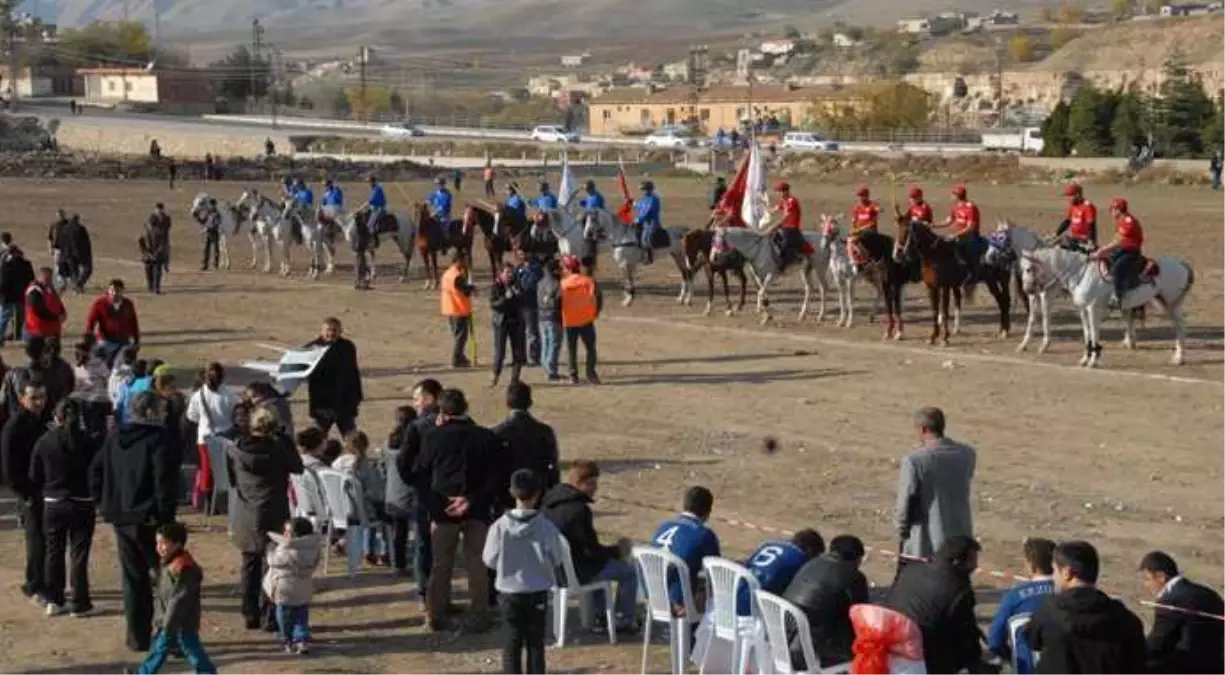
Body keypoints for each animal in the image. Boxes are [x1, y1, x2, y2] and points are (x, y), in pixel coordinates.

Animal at [984, 220, 1053, 352]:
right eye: (993, 235)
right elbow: (1032, 313)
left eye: (1001, 237)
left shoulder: (1043, 294)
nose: (987, 257)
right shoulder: (1033, 293)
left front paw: (1044, 343)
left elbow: (1044, 315)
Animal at [1014, 247, 1195, 367]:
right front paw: (1085, 358)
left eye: (1028, 269)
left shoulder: (1093, 309)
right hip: (1164, 303)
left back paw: (1179, 358)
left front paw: (1093, 359)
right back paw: (1177, 357)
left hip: (1172, 304)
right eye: (1021, 269)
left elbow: (1094, 333)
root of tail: (1182, 264)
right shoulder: (1083, 310)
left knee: (1181, 327)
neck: (1081, 273)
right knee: (1178, 327)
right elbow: (1087, 333)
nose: (1027, 290)